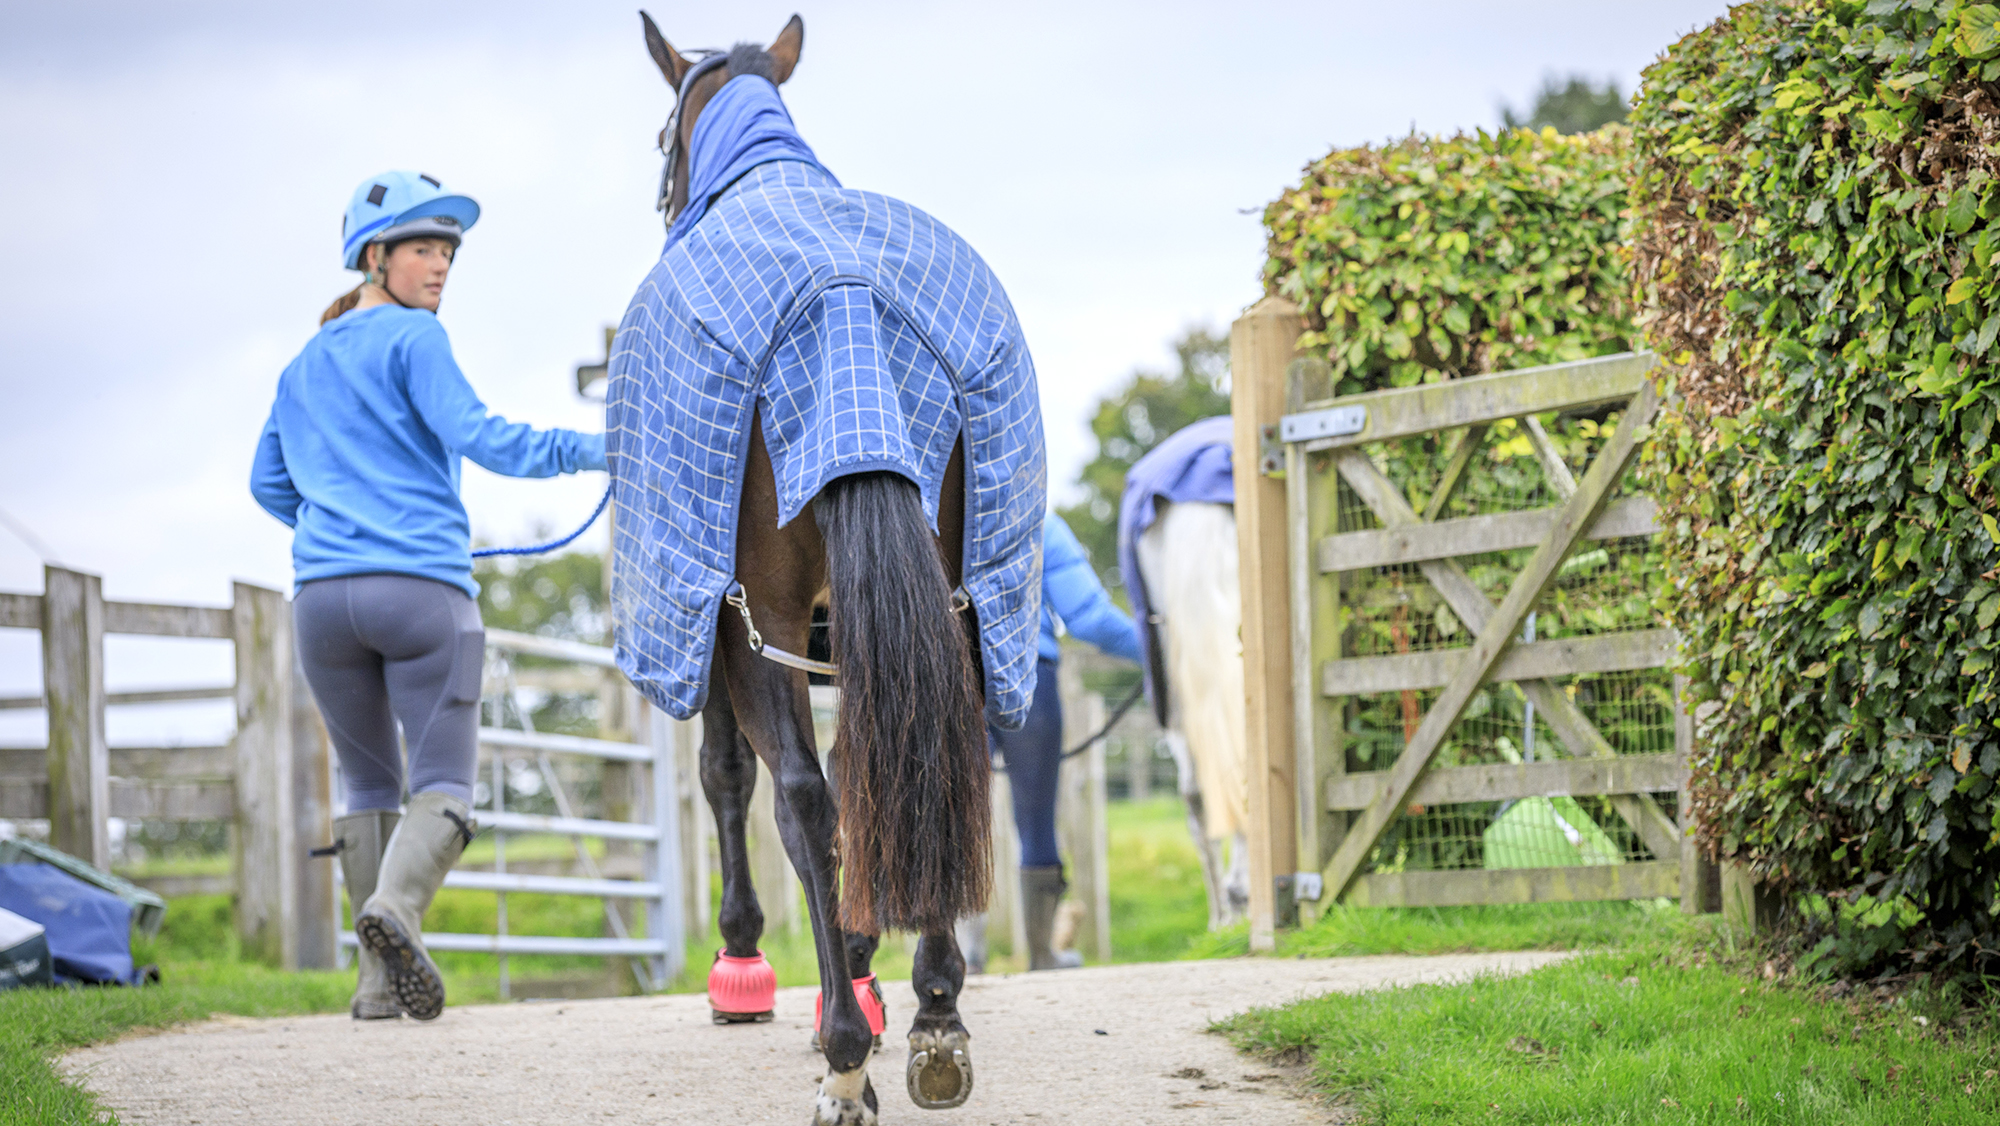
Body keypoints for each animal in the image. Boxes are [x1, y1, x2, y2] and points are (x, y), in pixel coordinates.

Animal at [607, 14, 1047, 1125]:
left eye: (661, 138)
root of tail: (848, 301)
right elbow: (870, 771)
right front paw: (865, 961)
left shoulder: (720, 619)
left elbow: (734, 775)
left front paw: (748, 967)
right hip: (960, 601)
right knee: (933, 755)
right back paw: (935, 1016)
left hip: (756, 614)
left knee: (801, 798)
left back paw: (847, 1054)